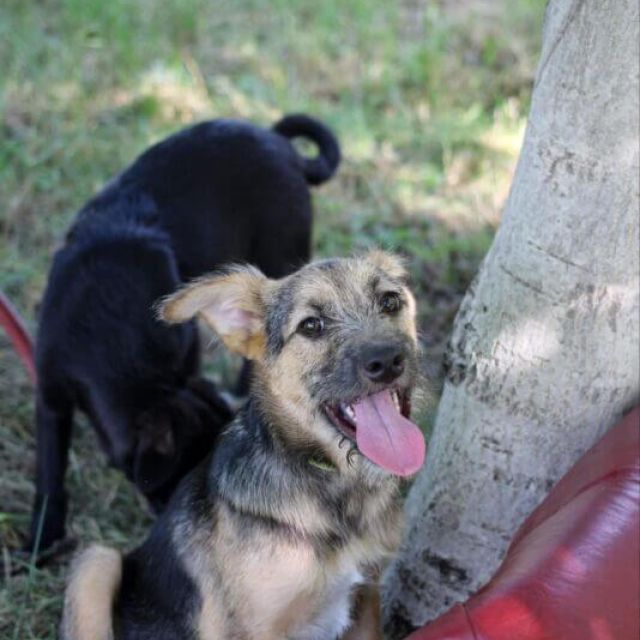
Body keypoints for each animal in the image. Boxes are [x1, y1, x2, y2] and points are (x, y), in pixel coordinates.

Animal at [62, 254, 428, 640]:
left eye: (390, 302)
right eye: (311, 326)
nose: (387, 361)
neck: (335, 493)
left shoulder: (367, 597)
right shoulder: (252, 628)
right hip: (96, 564)